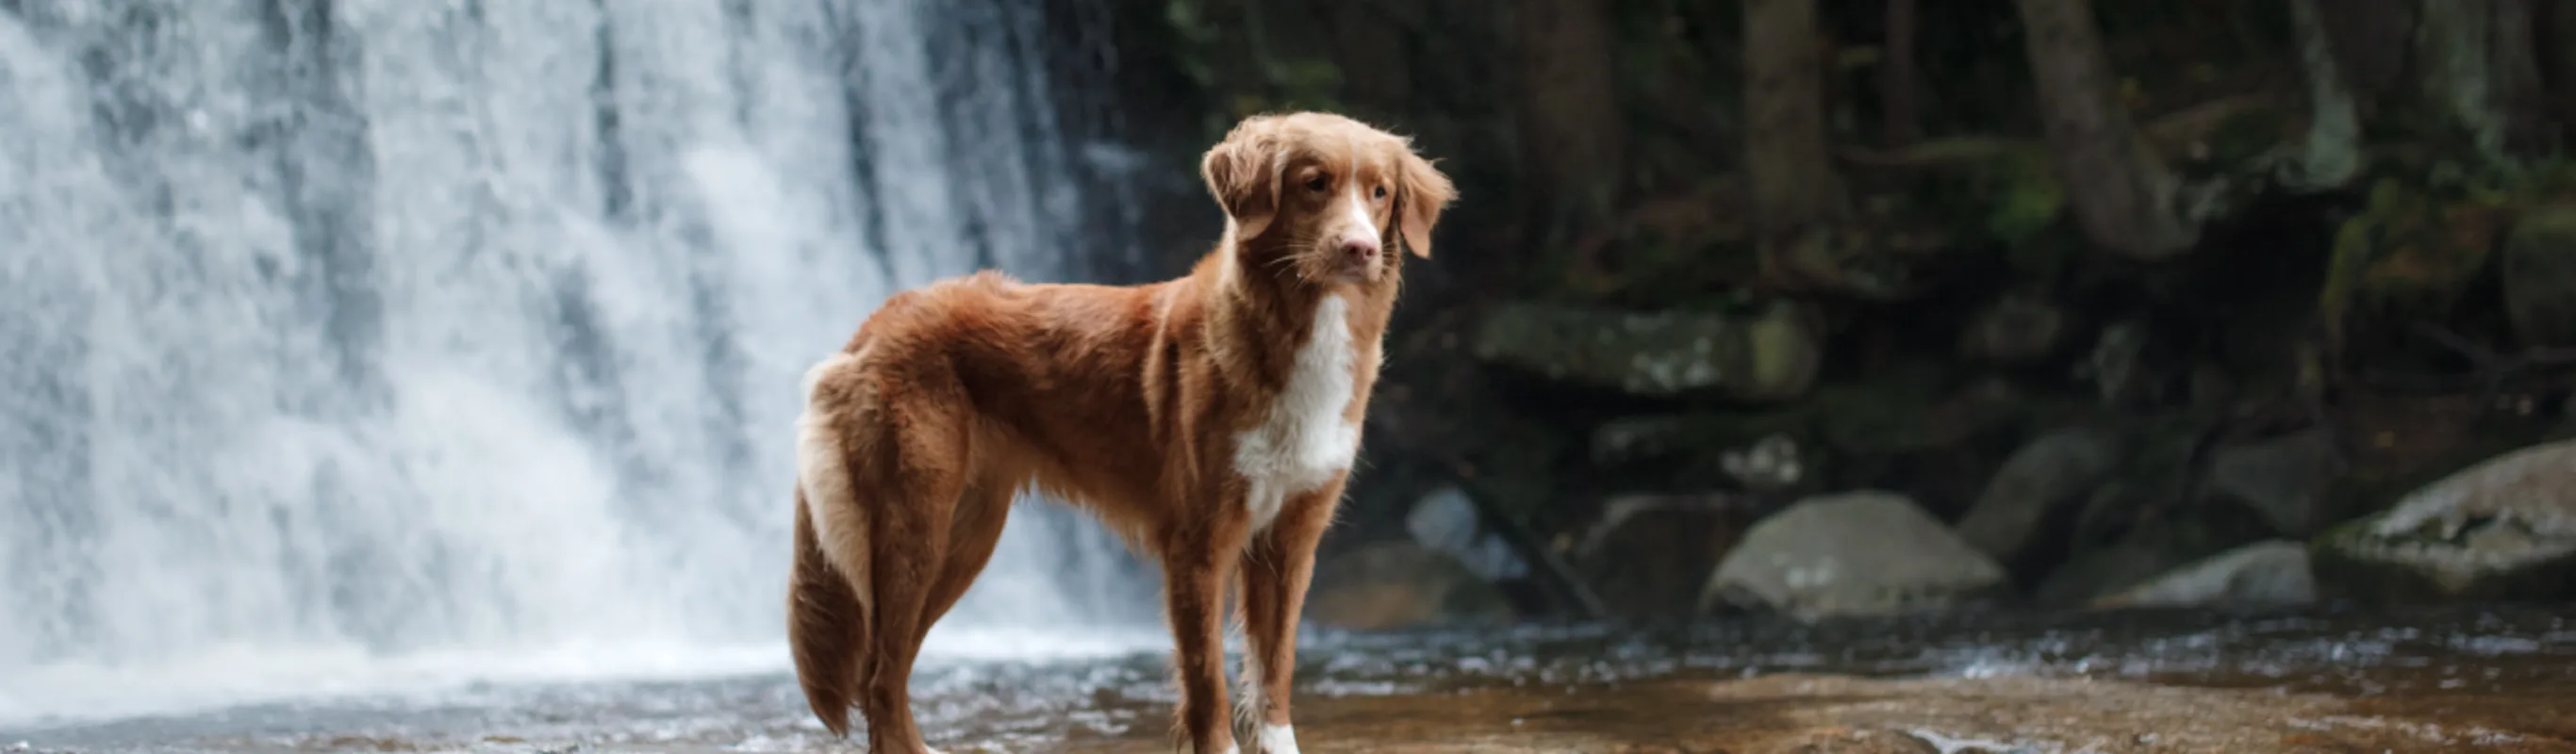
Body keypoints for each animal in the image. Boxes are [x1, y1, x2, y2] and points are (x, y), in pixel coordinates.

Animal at [783, 113, 1462, 751]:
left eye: (1380, 192)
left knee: (886, 675)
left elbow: (1273, 677)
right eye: (1314, 184)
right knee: (878, 678)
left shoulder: (1290, 543)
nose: (1360, 249)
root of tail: (876, 322)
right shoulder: (1198, 544)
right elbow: (1208, 684)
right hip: (914, 529)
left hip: (964, 537)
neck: (1293, 330)